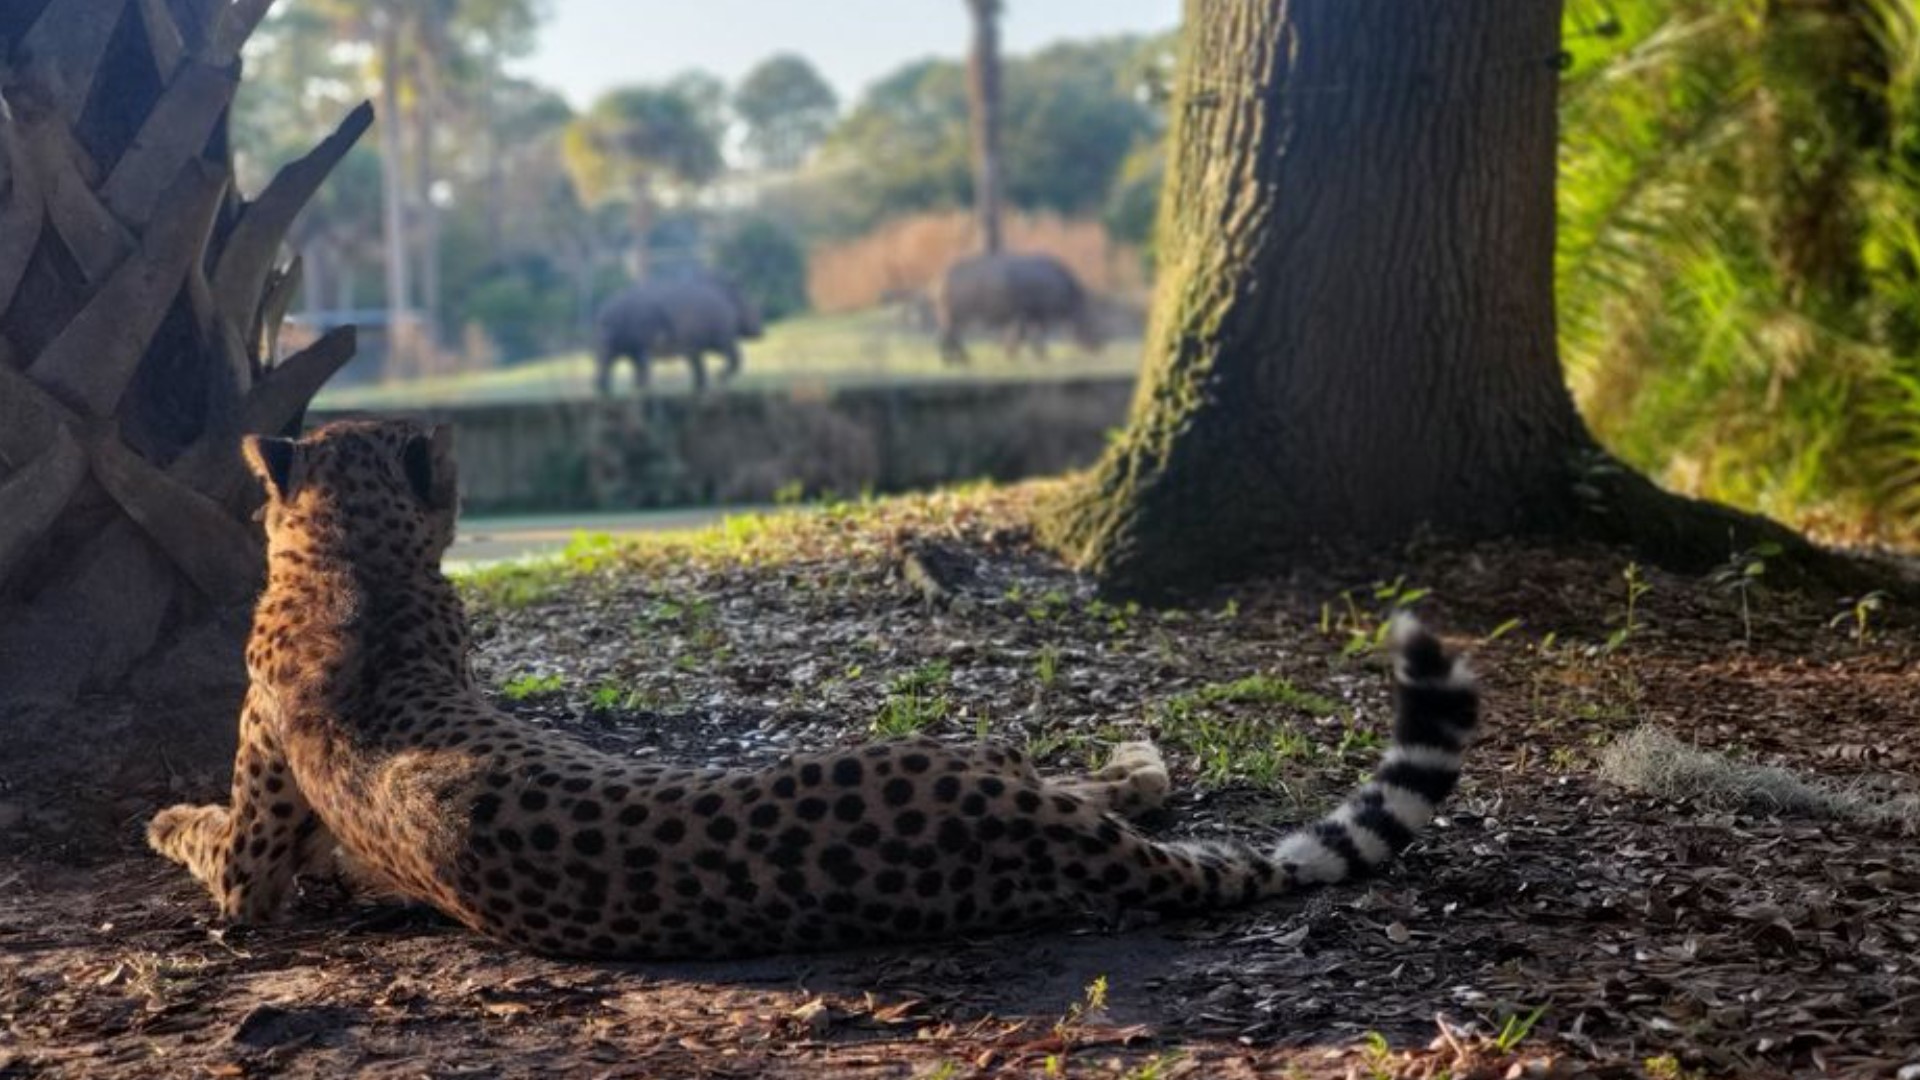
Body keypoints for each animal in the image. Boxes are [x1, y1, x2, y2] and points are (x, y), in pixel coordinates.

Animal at [148, 419, 1481, 960]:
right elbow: (222, 845)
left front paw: (163, 814)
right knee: (1101, 777)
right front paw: (163, 814)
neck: (347, 556)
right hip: (974, 761)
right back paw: (1132, 759)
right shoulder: (259, 869)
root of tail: (1033, 843)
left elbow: (224, 839)